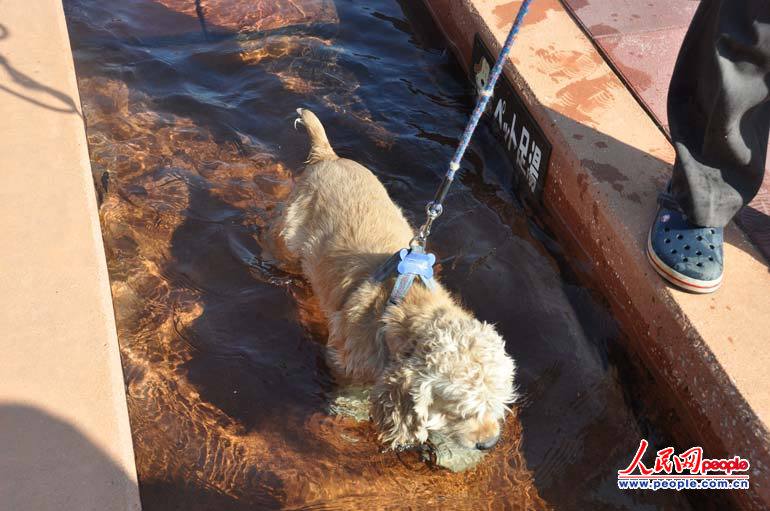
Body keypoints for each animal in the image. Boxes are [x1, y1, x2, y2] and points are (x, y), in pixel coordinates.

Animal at [272, 108, 516, 452]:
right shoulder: (348, 363)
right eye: (460, 410)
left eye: (498, 400)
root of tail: (328, 157)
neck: (406, 306)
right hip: (287, 238)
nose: (489, 443)